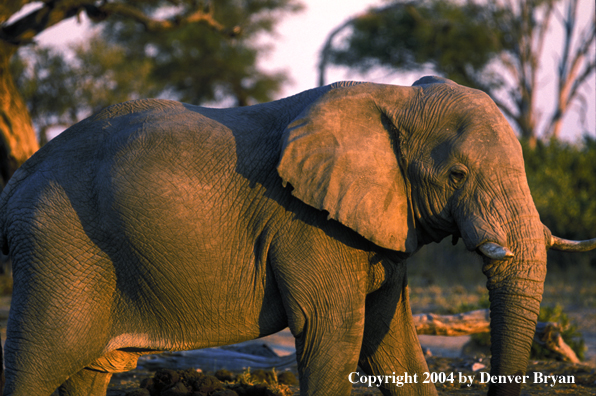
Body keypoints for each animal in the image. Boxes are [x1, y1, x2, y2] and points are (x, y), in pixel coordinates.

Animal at [1, 75, 596, 396]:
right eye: (456, 174)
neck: (395, 98)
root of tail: (15, 184)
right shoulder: (309, 227)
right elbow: (336, 332)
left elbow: (392, 341)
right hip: (59, 243)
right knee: (39, 358)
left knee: (88, 372)